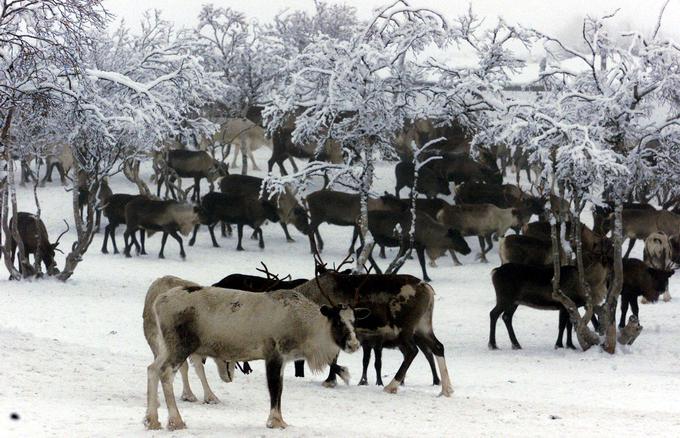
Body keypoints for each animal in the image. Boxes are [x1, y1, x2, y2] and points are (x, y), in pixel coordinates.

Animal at [144, 276, 366, 430]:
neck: (306, 329)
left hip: (166, 346)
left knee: (152, 368)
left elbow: (279, 389)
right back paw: (176, 421)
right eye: (338, 321)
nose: (354, 344)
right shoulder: (274, 353)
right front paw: (275, 421)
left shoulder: (284, 359)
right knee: (165, 373)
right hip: (181, 345)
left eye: (354, 321)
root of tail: (158, 301)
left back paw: (151, 420)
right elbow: (275, 389)